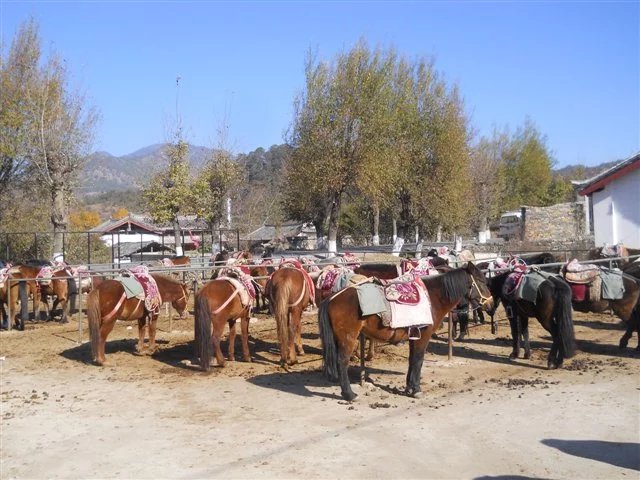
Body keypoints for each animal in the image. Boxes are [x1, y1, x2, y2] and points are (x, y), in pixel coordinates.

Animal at [320, 262, 496, 402]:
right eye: (481, 281)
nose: (491, 304)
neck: (433, 298)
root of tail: (333, 298)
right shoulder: (423, 336)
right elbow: (418, 361)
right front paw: (416, 390)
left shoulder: (414, 336)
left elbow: (412, 360)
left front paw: (409, 388)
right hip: (348, 338)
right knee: (342, 362)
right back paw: (349, 394)